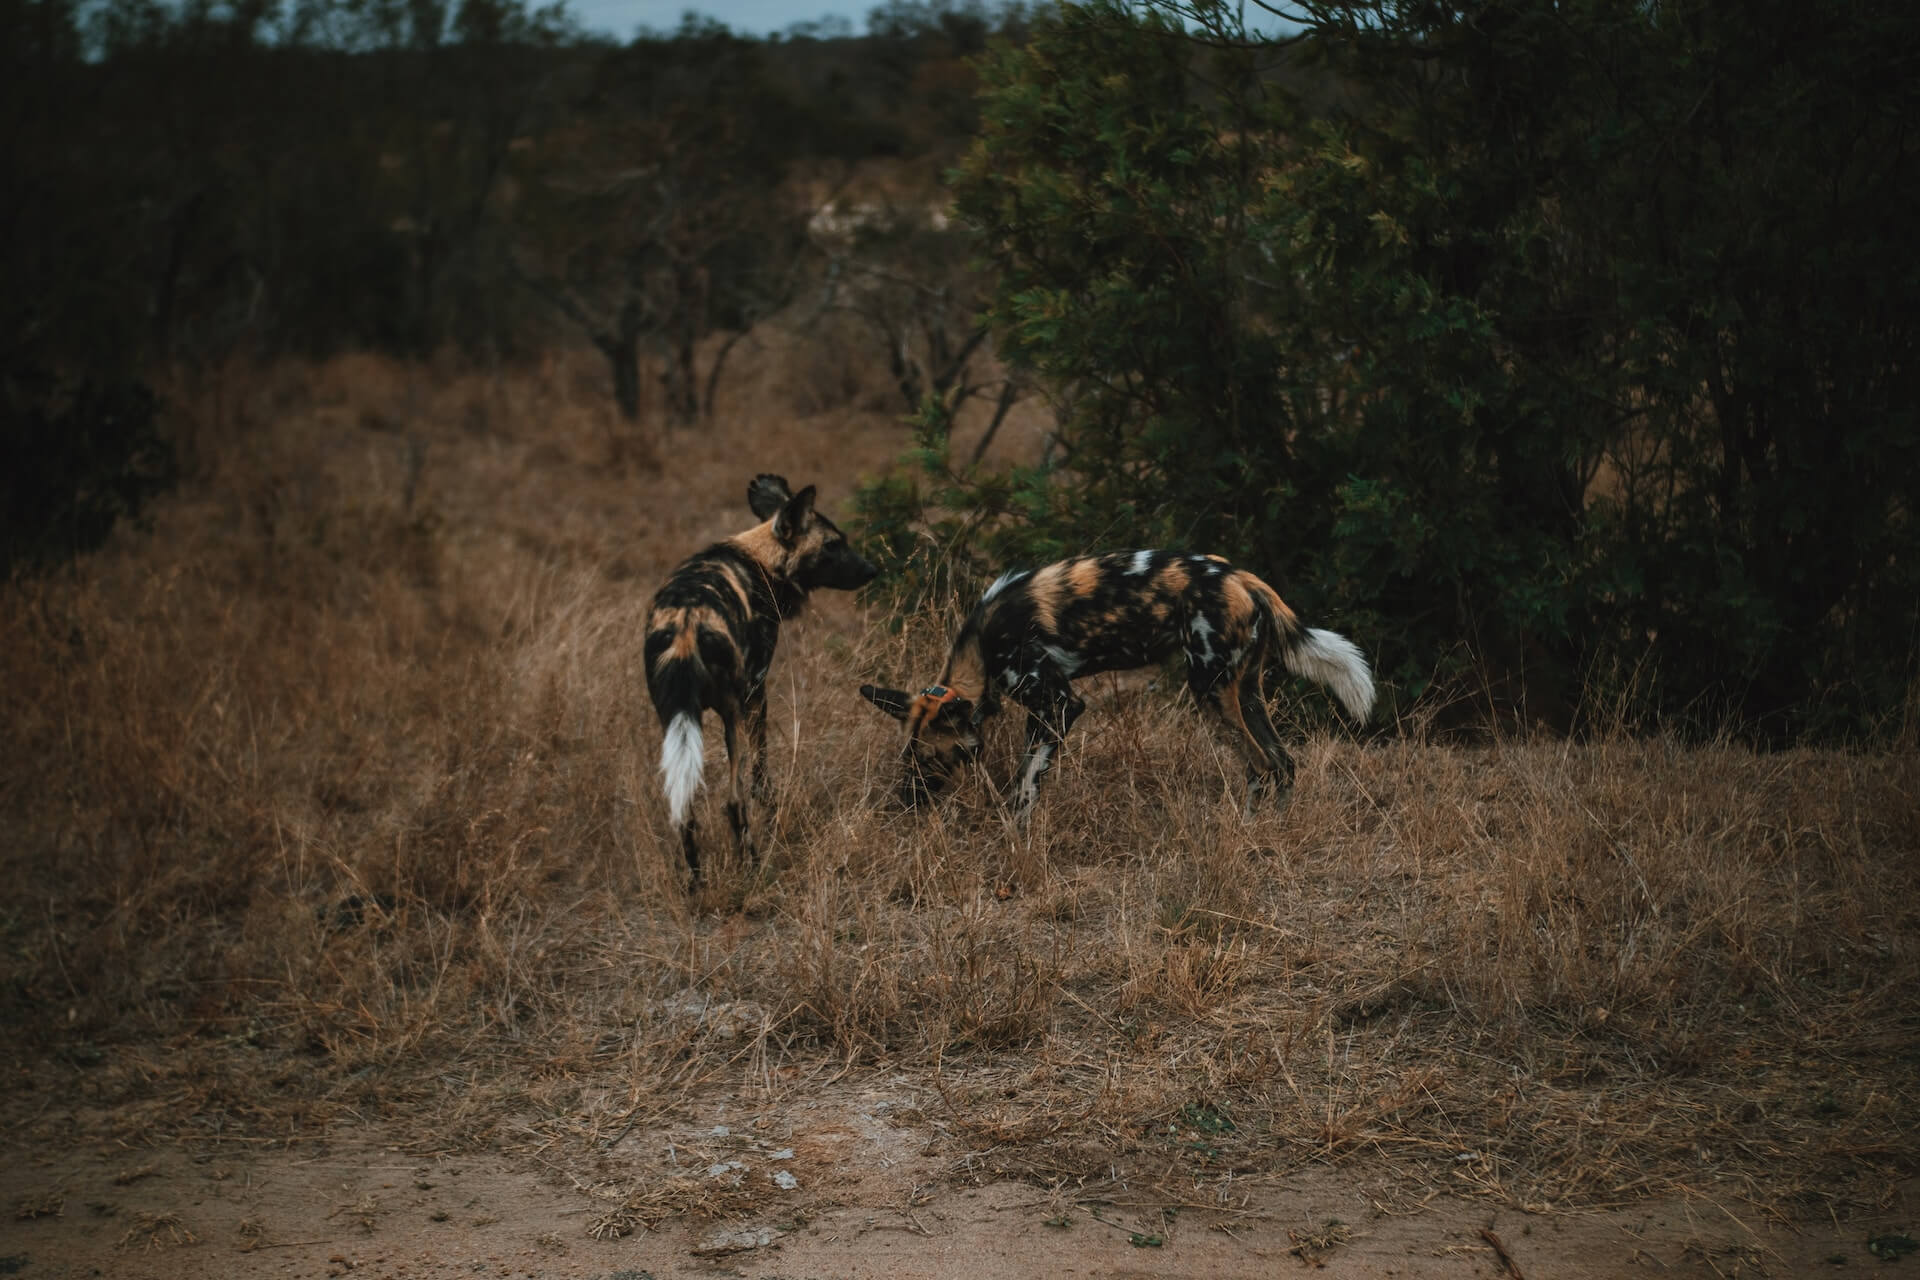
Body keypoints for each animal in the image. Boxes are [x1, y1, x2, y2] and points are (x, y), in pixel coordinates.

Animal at [648, 475, 879, 886]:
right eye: (833, 545)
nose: (872, 569)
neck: (759, 559)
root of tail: (686, 624)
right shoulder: (757, 691)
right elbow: (760, 778)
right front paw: (771, 813)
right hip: (731, 717)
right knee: (733, 800)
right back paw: (754, 869)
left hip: (673, 721)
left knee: (684, 810)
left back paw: (696, 886)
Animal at [864, 548, 1374, 809]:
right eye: (908, 759)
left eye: (930, 760)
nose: (904, 802)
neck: (982, 648)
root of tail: (1245, 578)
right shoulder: (1045, 712)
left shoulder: (1058, 705)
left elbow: (1024, 786)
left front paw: (1014, 838)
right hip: (1245, 692)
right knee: (1282, 762)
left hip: (1209, 691)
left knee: (1261, 765)